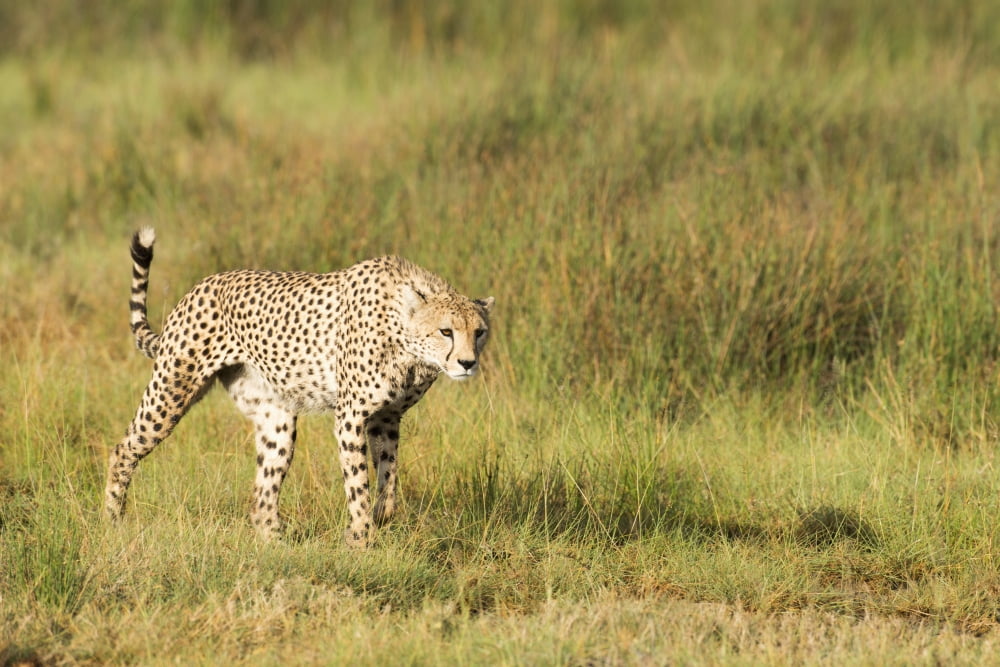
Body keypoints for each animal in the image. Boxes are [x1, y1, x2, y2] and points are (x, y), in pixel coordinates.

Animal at [104, 228, 493, 548]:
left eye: (479, 332)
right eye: (446, 331)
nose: (467, 363)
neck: (406, 341)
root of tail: (200, 286)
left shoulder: (387, 417)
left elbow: (389, 475)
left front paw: (380, 516)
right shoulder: (351, 416)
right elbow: (358, 482)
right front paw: (360, 538)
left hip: (277, 420)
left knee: (263, 495)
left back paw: (277, 547)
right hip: (172, 389)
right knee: (124, 450)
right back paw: (112, 521)